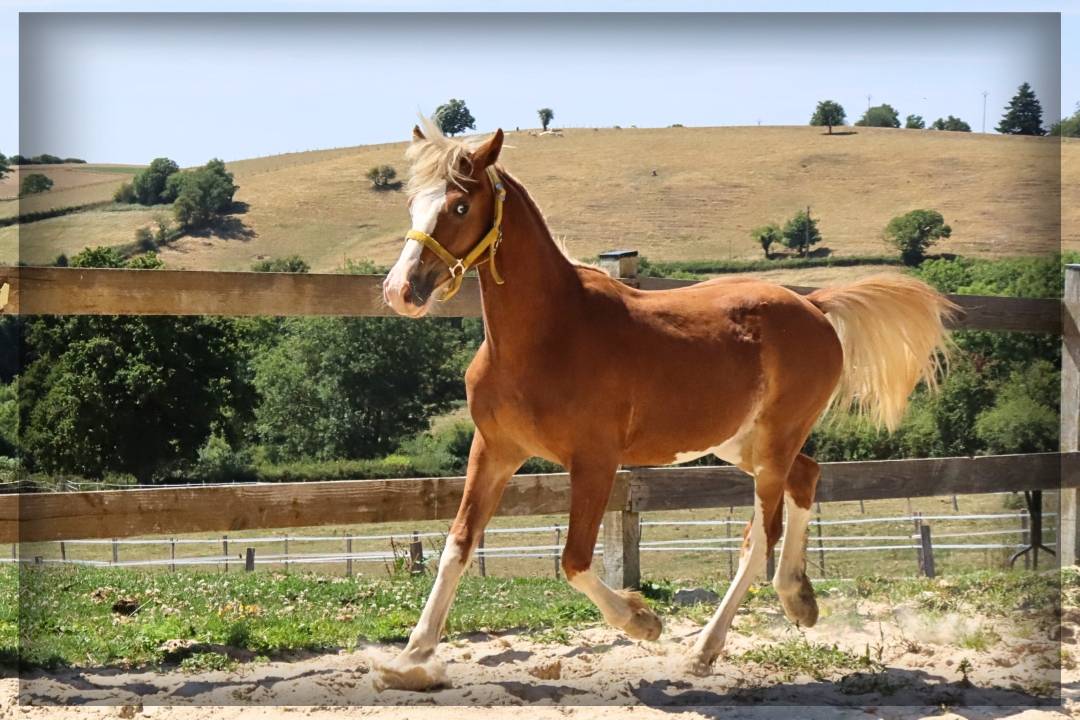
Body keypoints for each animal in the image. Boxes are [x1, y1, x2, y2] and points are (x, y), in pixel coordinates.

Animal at [376, 118, 956, 690]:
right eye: (413, 203)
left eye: (459, 206)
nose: (401, 291)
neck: (546, 335)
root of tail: (813, 304)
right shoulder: (494, 450)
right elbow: (458, 544)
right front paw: (410, 659)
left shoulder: (595, 461)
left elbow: (574, 560)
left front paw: (643, 621)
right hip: (743, 443)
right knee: (807, 477)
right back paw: (798, 598)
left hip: (773, 442)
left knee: (759, 537)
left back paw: (703, 651)